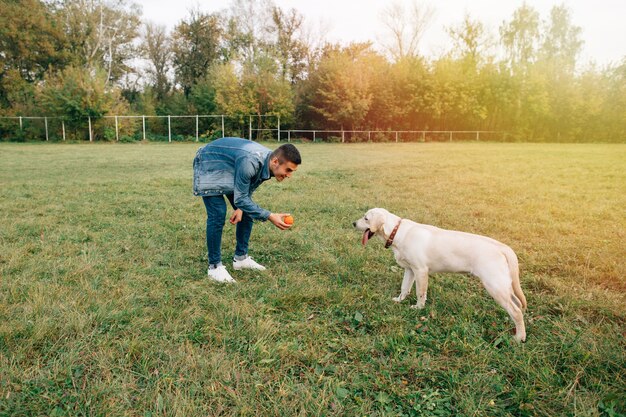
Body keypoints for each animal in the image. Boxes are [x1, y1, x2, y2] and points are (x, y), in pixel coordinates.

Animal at [354, 208, 524, 342]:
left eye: (366, 218)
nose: (353, 223)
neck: (397, 232)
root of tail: (502, 247)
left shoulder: (421, 270)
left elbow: (420, 292)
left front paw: (418, 308)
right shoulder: (410, 270)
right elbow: (404, 288)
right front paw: (399, 300)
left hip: (495, 286)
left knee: (516, 311)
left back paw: (519, 338)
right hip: (504, 286)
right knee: (518, 304)